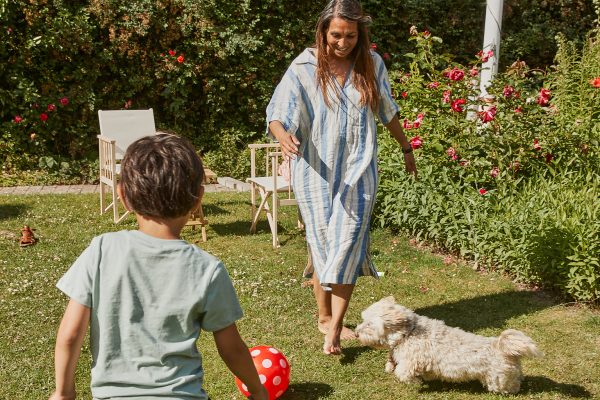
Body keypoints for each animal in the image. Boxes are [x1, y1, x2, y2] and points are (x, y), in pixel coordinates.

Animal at [356, 296, 544, 394]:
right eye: (363, 320)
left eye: (370, 325)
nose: (356, 333)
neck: (408, 333)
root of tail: (503, 347)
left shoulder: (411, 362)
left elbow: (402, 373)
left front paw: (415, 382)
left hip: (498, 380)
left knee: (511, 386)